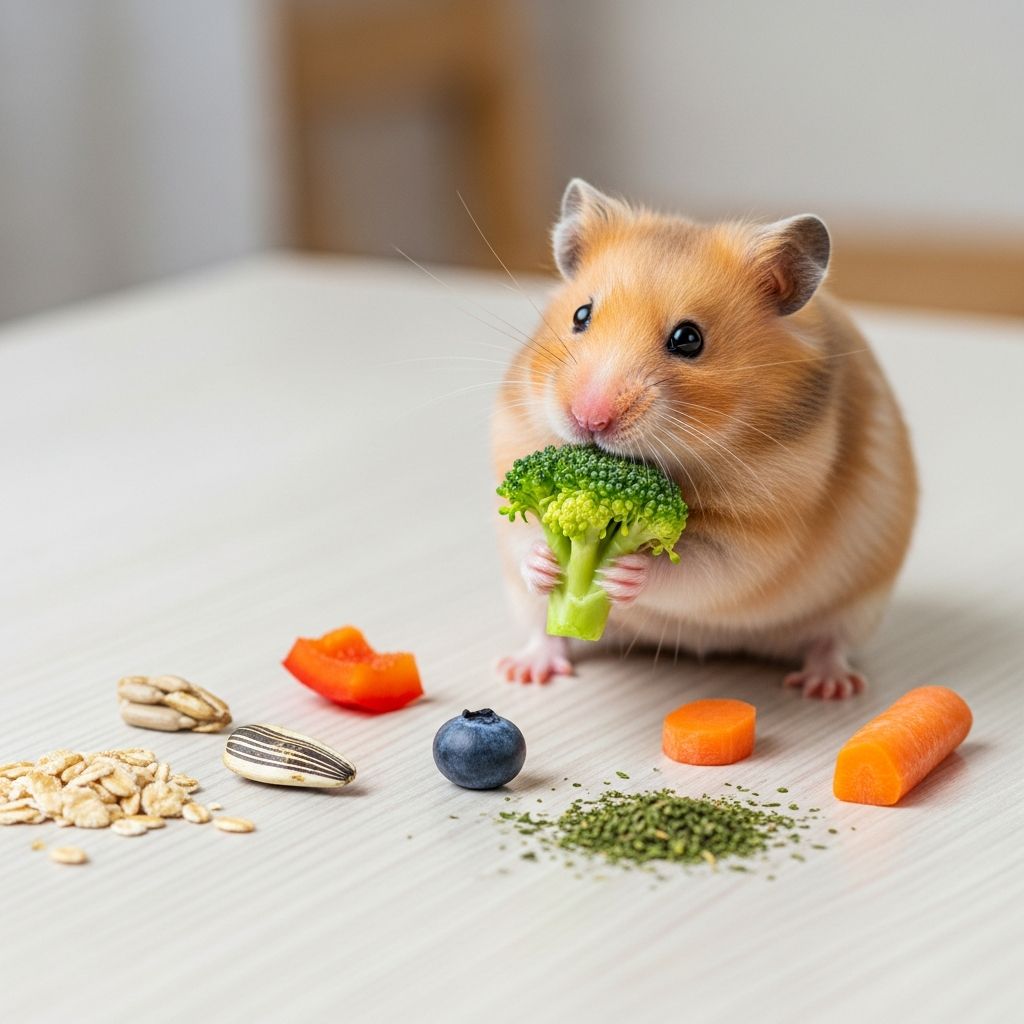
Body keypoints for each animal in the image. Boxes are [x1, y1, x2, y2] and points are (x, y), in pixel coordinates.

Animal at [492, 179, 917, 698]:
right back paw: (524, 670)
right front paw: (546, 563)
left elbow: (696, 570)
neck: (672, 463)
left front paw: (623, 573)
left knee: (829, 642)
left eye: (688, 339)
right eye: (581, 314)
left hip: (860, 607)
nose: (589, 419)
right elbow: (525, 537)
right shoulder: (513, 446)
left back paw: (828, 686)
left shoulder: (760, 533)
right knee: (545, 633)